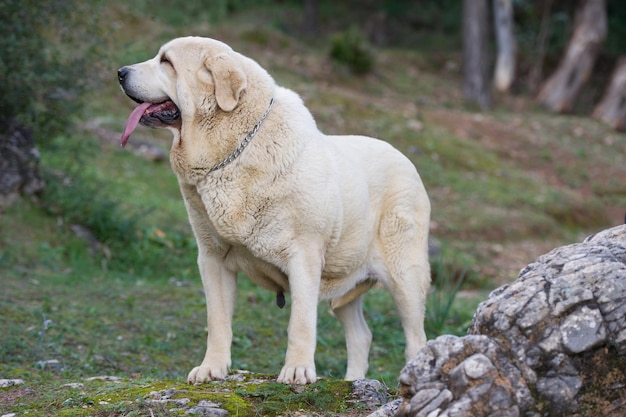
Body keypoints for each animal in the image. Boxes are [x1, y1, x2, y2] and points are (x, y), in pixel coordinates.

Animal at [117, 36, 428, 384]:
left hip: (405, 276)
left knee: (416, 338)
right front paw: (212, 367)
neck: (233, 149)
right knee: (361, 335)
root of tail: (405, 159)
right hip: (346, 279)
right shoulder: (212, 259)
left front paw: (297, 370)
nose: (120, 72)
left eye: (166, 62)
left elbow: (300, 322)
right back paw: (353, 381)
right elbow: (217, 321)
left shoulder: (304, 257)